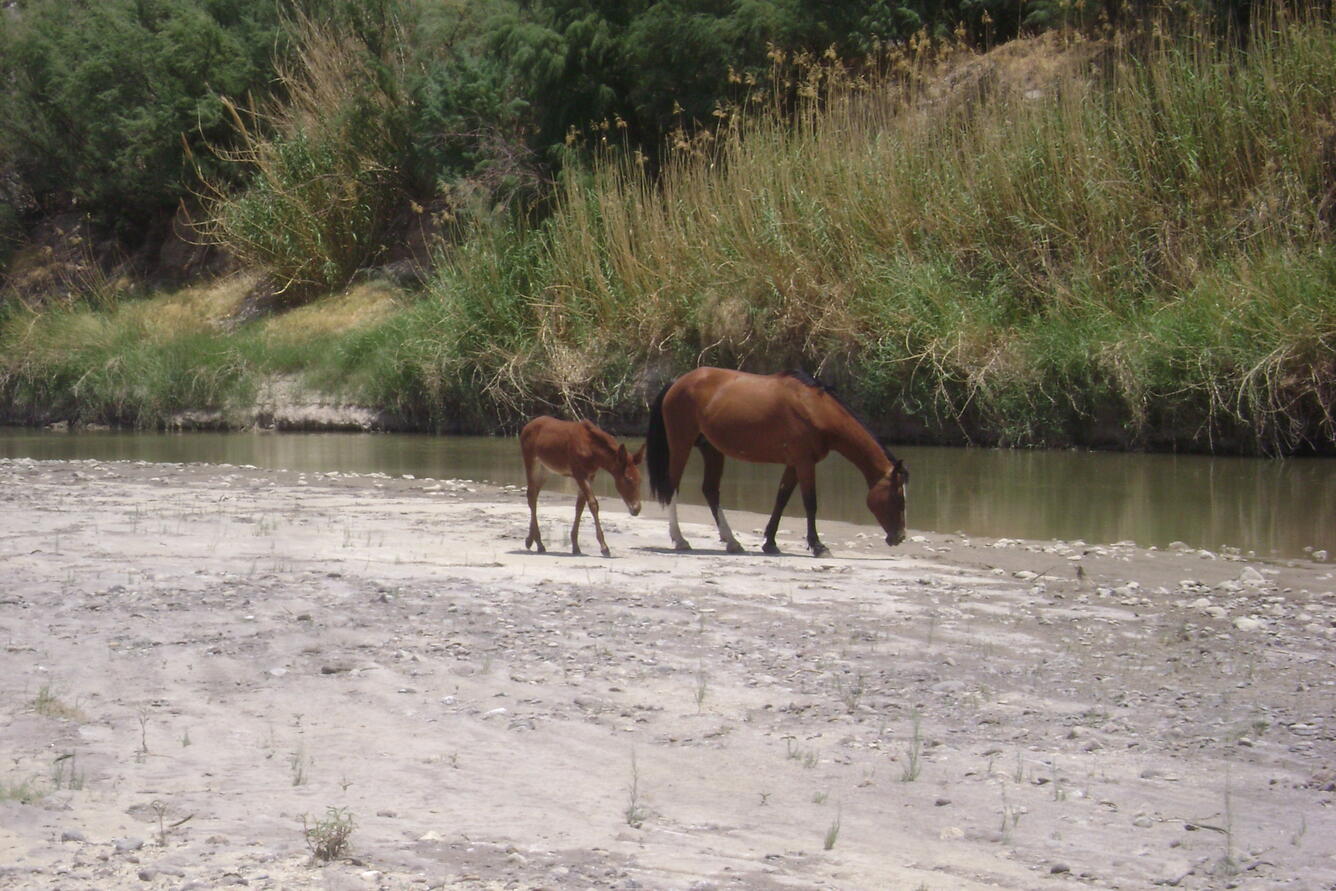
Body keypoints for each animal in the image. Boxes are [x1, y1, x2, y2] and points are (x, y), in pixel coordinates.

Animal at [520, 416, 645, 557]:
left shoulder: (590, 476)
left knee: (534, 494)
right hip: (531, 462)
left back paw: (531, 540)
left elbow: (580, 506)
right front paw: (604, 547)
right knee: (531, 495)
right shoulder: (579, 474)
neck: (595, 454)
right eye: (627, 479)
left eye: (640, 479)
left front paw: (575, 546)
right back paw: (539, 543)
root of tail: (525, 427)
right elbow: (593, 504)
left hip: (545, 469)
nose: (636, 509)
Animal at [645, 367, 908, 557]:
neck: (814, 409)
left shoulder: (794, 463)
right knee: (673, 487)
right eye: (898, 497)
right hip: (681, 445)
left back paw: (732, 541)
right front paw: (818, 546)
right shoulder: (804, 463)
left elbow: (781, 499)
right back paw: (680, 540)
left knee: (710, 490)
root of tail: (677, 382)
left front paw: (770, 542)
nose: (900, 537)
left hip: (711, 449)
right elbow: (810, 503)